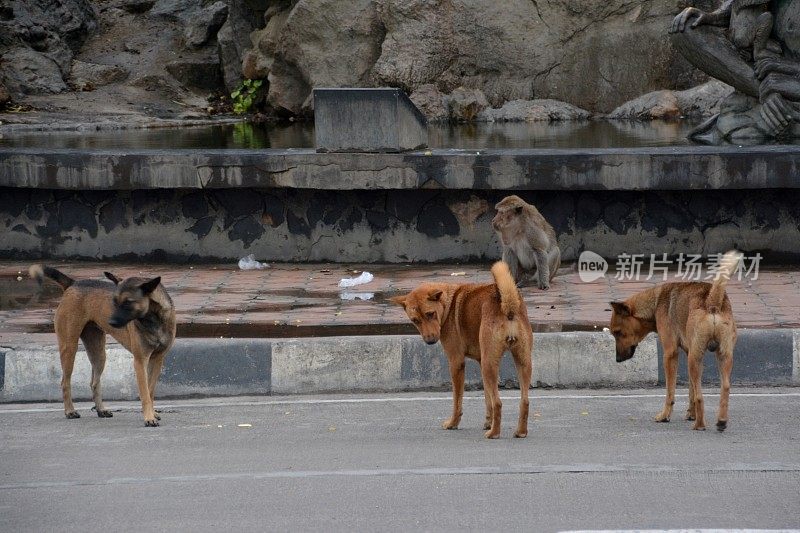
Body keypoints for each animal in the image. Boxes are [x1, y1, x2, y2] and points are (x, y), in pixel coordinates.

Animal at [30, 264, 177, 426]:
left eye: (128, 302)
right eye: (114, 301)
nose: (111, 322)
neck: (152, 319)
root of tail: (73, 283)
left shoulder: (157, 360)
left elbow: (150, 391)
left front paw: (152, 413)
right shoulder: (140, 361)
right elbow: (144, 393)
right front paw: (149, 417)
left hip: (99, 353)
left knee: (94, 382)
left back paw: (100, 409)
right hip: (69, 347)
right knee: (65, 382)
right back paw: (70, 411)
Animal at [392, 260, 536, 438]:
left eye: (430, 314)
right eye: (415, 320)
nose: (430, 341)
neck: (448, 304)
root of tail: (507, 305)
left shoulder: (456, 363)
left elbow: (458, 400)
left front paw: (453, 423)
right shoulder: (481, 362)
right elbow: (487, 398)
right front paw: (488, 422)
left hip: (490, 365)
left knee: (498, 403)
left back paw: (494, 433)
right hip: (521, 362)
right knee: (524, 401)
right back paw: (520, 431)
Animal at [608, 250, 740, 432]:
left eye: (618, 332)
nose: (617, 359)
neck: (655, 303)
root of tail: (712, 301)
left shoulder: (670, 354)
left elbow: (671, 392)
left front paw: (665, 415)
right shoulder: (688, 352)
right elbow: (691, 390)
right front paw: (691, 413)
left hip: (695, 358)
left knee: (700, 396)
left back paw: (700, 425)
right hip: (721, 356)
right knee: (724, 387)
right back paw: (720, 421)